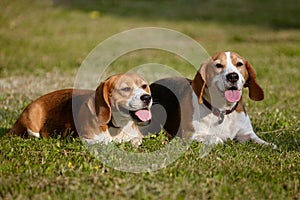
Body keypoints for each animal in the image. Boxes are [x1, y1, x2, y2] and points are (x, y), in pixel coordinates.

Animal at [9, 73, 152, 145]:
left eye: (144, 86)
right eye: (126, 89)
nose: (147, 97)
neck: (116, 126)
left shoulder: (137, 137)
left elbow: (136, 140)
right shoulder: (86, 139)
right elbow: (105, 142)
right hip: (33, 116)